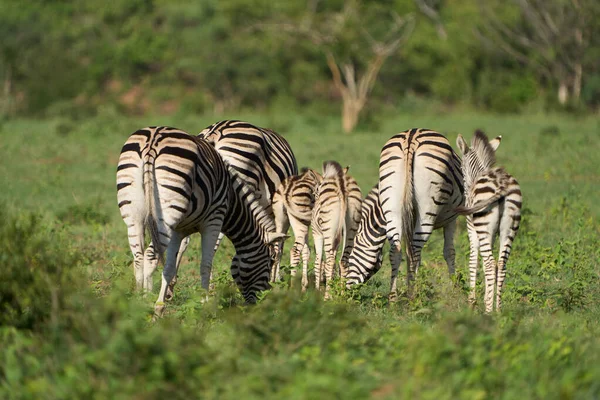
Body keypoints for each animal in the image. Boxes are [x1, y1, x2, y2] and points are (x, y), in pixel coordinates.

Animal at [118, 126, 288, 314]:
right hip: (167, 213)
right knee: (150, 255)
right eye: (269, 261)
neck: (232, 199)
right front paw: (205, 303)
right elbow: (205, 264)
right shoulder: (214, 220)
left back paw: (138, 302)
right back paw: (147, 299)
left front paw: (162, 304)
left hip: (133, 213)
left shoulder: (179, 229)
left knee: (138, 257)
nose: (261, 302)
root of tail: (153, 140)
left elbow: (169, 266)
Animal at [312, 160, 350, 296]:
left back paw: (327, 296)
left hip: (328, 232)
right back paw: (342, 295)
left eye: (315, 191)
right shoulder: (337, 239)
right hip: (349, 233)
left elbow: (318, 261)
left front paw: (317, 290)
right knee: (343, 261)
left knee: (329, 261)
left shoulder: (316, 233)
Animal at [346, 130, 464, 298]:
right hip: (427, 209)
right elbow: (448, 252)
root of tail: (411, 138)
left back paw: (394, 297)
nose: (344, 291)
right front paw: (455, 290)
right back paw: (412, 296)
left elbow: (418, 254)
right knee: (415, 249)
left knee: (396, 251)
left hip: (392, 206)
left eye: (348, 259)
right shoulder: (450, 218)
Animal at [458, 131, 524, 312]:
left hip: (483, 226)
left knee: (489, 263)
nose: (465, 190)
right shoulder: (492, 234)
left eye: (460, 168)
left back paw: (488, 311)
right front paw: (487, 296)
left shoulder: (472, 230)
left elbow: (474, 261)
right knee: (500, 263)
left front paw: (472, 301)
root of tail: (501, 183)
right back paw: (498, 309)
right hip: (509, 229)